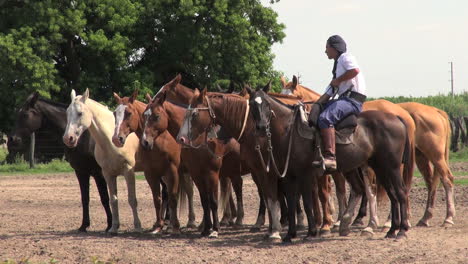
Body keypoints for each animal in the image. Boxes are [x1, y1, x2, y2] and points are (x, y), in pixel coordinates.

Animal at [9, 92, 112, 232]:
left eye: (25, 115)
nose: (12, 139)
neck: (83, 137)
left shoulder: (98, 173)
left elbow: (105, 198)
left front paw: (110, 226)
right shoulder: (81, 172)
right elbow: (85, 198)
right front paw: (83, 225)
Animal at [63, 88, 142, 233]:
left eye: (80, 113)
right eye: (67, 112)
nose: (68, 138)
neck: (110, 140)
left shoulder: (128, 171)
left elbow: (132, 199)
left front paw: (138, 226)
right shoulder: (107, 174)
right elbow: (113, 200)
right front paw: (114, 227)